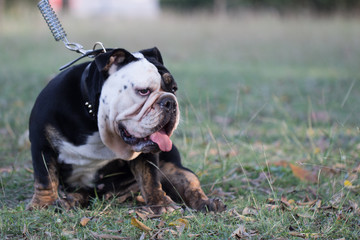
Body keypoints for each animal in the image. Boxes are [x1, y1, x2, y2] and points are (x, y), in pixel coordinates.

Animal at [26, 47, 225, 214]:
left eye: (174, 89)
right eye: (144, 91)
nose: (169, 101)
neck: (94, 121)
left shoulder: (147, 154)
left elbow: (150, 178)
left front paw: (162, 204)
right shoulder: (41, 143)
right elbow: (44, 177)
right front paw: (43, 204)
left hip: (173, 168)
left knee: (190, 183)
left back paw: (209, 203)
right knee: (81, 192)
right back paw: (69, 200)